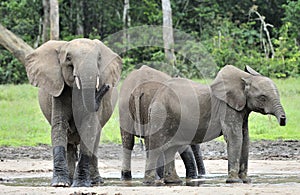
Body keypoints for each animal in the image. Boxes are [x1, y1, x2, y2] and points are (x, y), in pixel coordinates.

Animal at [24, 38, 122, 187]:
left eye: (99, 59)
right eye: (68, 59)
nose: (106, 86)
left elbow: (89, 127)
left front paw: (81, 184)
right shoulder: (58, 92)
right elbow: (59, 126)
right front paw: (60, 184)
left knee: (95, 141)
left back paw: (95, 181)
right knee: (69, 144)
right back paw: (69, 180)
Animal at [144, 65, 288, 184]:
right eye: (263, 97)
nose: (283, 119)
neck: (245, 78)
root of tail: (155, 98)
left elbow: (245, 139)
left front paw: (246, 181)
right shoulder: (227, 108)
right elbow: (235, 138)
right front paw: (234, 181)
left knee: (171, 148)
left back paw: (174, 181)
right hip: (161, 114)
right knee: (156, 145)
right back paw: (151, 182)